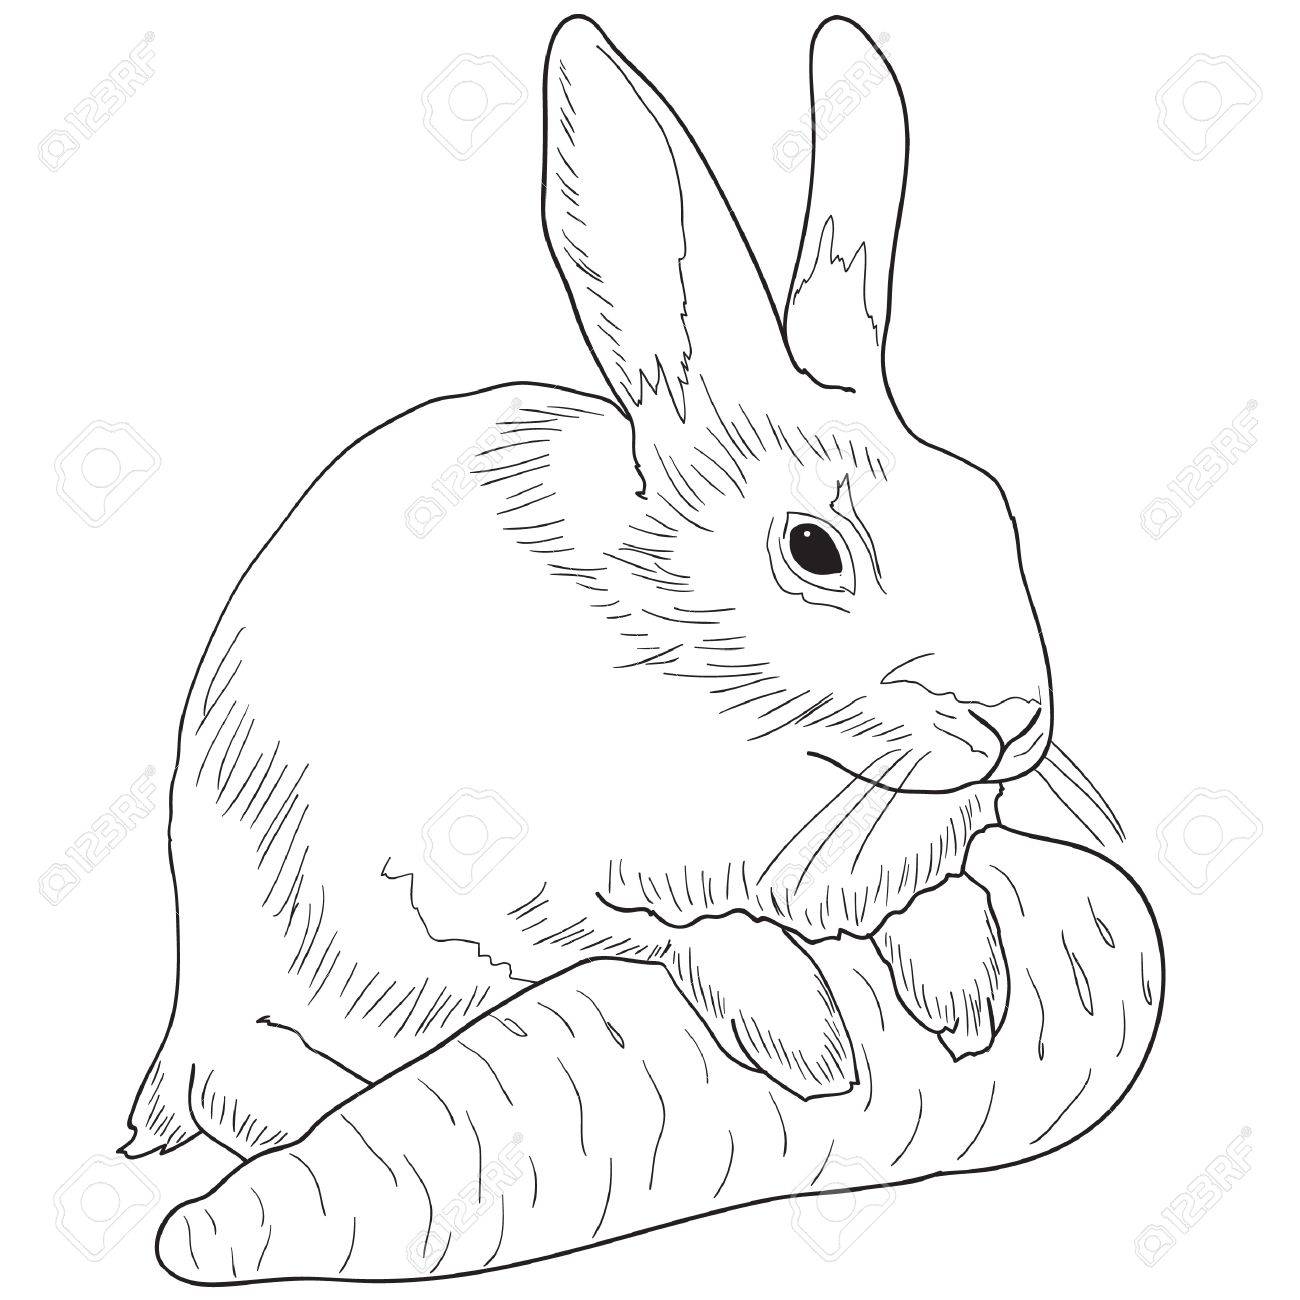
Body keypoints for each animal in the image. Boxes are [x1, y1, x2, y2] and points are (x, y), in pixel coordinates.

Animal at [123, 15, 1111, 1165]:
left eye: (995, 511)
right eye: (812, 549)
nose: (1010, 719)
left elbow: (935, 897)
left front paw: (969, 993)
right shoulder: (512, 871)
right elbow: (669, 932)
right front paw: (806, 1039)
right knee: (238, 1089)